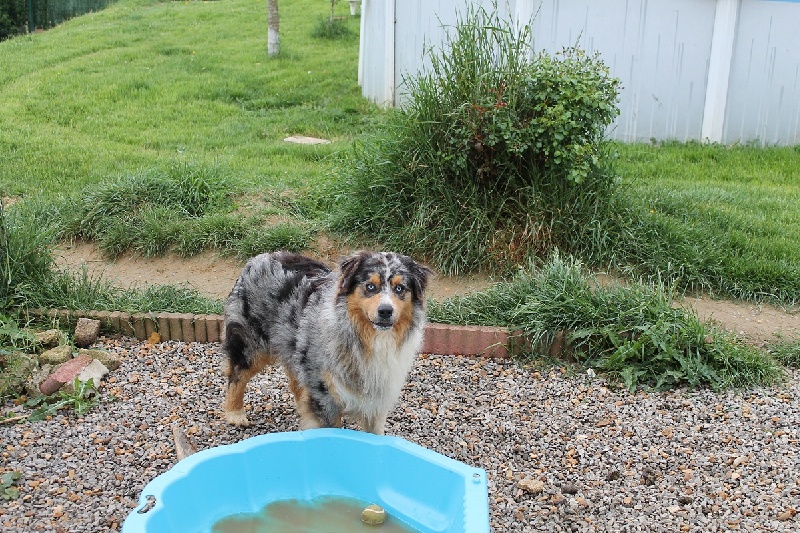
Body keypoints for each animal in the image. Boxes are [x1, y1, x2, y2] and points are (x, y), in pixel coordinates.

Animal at [220, 249, 432, 432]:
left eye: (400, 288)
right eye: (370, 286)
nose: (386, 311)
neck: (369, 339)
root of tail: (259, 257)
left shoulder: (377, 398)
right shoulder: (325, 396)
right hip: (251, 344)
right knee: (237, 375)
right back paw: (235, 414)